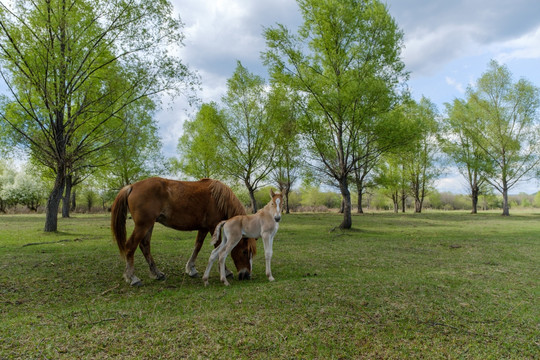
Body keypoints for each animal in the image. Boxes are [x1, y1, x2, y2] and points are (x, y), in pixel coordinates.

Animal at [110, 177, 256, 286]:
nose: (247, 275)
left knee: (145, 246)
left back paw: (157, 273)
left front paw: (191, 269)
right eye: (244, 251)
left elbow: (197, 246)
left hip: (149, 225)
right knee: (131, 246)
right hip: (143, 225)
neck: (218, 198)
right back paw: (132, 277)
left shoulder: (203, 228)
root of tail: (132, 186)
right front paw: (226, 271)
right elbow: (219, 249)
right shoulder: (213, 226)